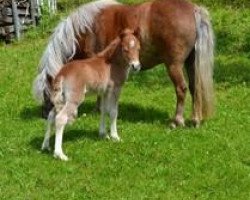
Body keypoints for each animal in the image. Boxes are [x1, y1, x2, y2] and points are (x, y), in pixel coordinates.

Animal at [33, 0, 214, 127]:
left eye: (46, 92)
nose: (43, 115)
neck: (85, 30)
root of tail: (193, 9)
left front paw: (97, 109)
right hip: (190, 63)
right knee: (194, 87)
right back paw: (195, 120)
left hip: (173, 65)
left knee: (181, 89)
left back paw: (177, 120)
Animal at [41, 29, 141, 161]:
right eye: (125, 49)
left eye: (139, 48)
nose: (136, 66)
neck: (111, 63)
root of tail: (62, 74)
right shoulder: (115, 89)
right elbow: (113, 112)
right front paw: (115, 136)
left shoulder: (104, 91)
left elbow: (104, 110)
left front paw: (103, 134)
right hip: (74, 99)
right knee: (60, 118)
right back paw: (60, 154)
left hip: (61, 99)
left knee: (51, 115)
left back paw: (45, 145)